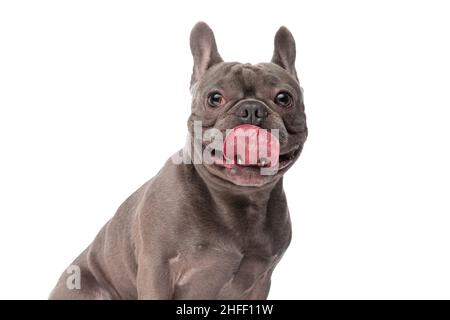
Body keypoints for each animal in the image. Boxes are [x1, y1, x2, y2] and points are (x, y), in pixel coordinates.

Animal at [50, 21, 310, 298]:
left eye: (283, 98)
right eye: (215, 98)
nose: (251, 109)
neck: (237, 198)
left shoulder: (260, 280)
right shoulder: (157, 270)